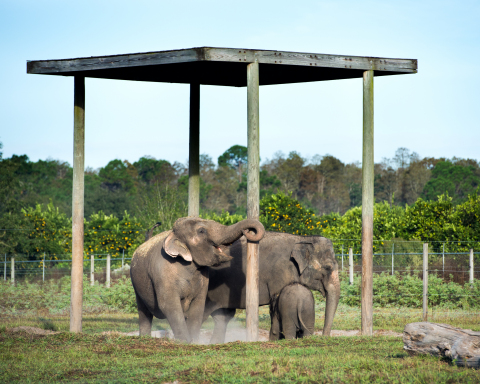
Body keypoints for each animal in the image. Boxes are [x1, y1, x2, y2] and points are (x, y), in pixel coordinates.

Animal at [130, 218, 266, 344]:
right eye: (201, 231)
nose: (248, 231)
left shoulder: (204, 277)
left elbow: (199, 305)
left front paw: (194, 341)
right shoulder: (163, 274)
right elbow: (169, 305)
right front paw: (184, 342)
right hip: (137, 285)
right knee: (144, 311)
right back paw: (145, 338)